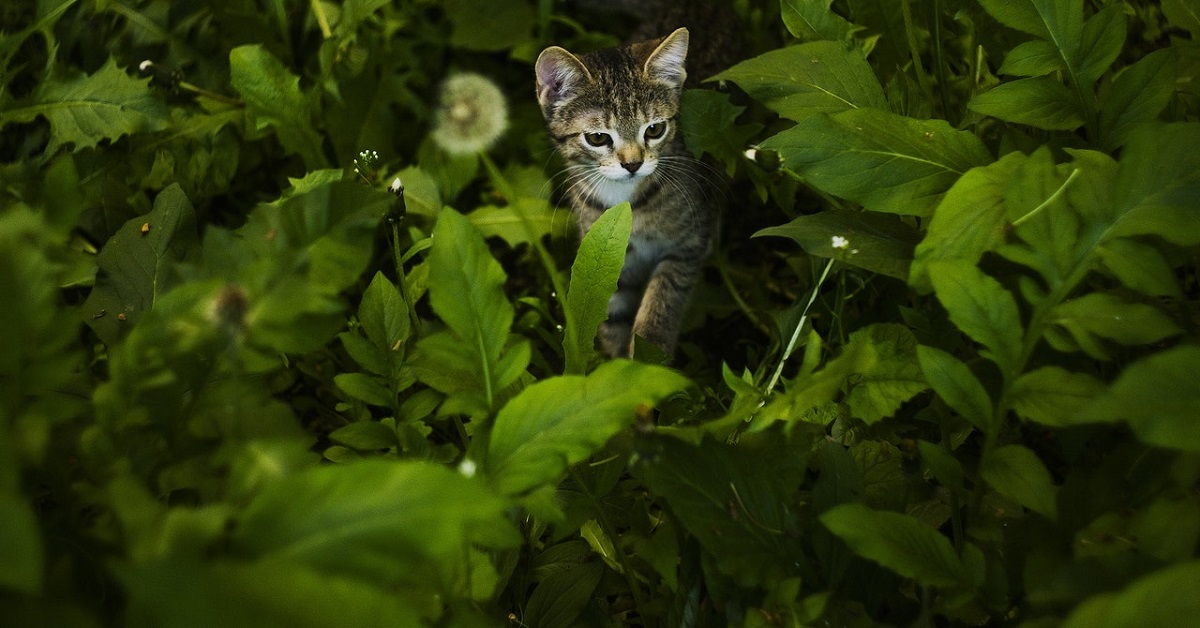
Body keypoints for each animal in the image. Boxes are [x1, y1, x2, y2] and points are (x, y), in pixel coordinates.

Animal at [535, 28, 710, 357]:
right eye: (597, 138)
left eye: (654, 129)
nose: (632, 163)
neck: (626, 200)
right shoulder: (607, 251)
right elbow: (610, 313)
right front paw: (619, 362)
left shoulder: (689, 244)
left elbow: (662, 301)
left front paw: (648, 354)